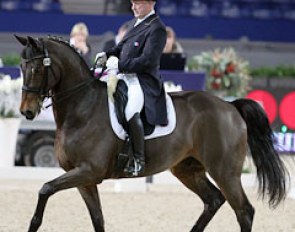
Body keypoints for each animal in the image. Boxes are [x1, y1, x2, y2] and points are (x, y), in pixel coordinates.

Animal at [15, 35, 290, 232]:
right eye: (20, 67)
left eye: (37, 69)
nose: (27, 111)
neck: (82, 108)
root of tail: (230, 106)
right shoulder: (84, 179)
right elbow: (98, 220)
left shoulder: (88, 171)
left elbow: (45, 189)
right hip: (187, 169)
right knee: (213, 200)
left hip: (225, 171)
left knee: (244, 211)